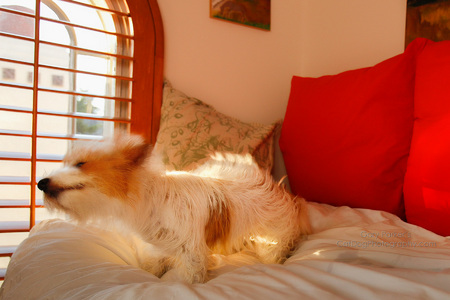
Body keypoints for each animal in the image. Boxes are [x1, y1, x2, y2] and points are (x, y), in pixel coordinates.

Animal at [37, 134, 310, 284]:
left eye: (81, 164)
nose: (41, 183)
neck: (150, 201)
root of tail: (276, 187)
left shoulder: (192, 251)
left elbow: (192, 275)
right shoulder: (157, 246)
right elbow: (154, 264)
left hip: (272, 239)